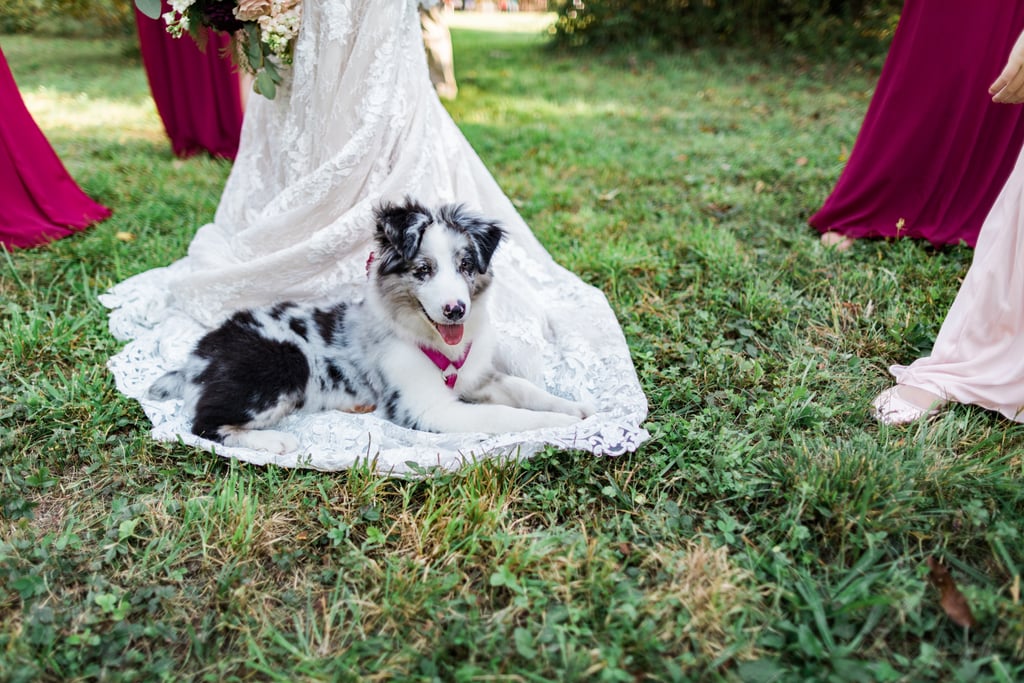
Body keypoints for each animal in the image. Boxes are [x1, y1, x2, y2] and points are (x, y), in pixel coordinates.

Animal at [147, 197, 589, 454]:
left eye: (465, 266)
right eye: (423, 270)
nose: (455, 310)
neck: (433, 341)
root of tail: (199, 355)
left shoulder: (478, 376)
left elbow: (524, 389)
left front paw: (574, 408)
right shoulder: (428, 408)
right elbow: (503, 416)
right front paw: (559, 426)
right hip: (283, 365)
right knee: (203, 424)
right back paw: (274, 440)